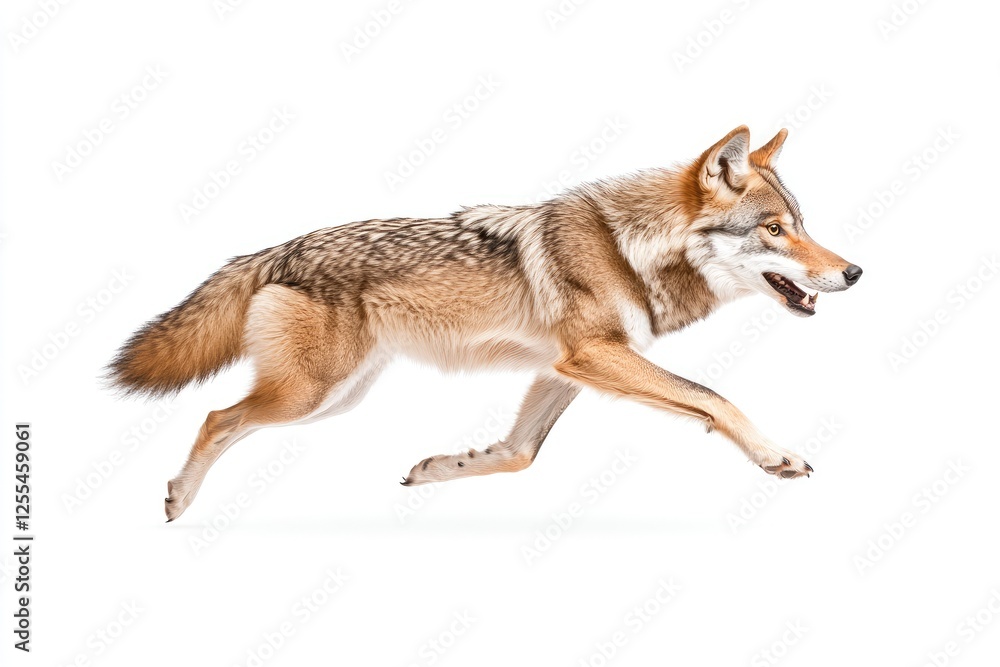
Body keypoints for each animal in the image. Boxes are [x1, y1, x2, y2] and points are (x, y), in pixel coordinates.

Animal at [108, 126, 862, 521]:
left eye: (802, 225)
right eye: (775, 229)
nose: (855, 272)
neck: (629, 246)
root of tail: (274, 249)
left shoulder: (564, 368)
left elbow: (519, 452)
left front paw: (441, 468)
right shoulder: (596, 355)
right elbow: (713, 397)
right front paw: (776, 455)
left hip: (335, 398)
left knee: (226, 419)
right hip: (310, 396)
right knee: (216, 418)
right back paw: (178, 500)